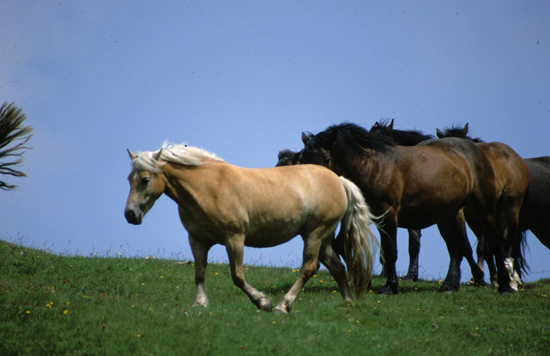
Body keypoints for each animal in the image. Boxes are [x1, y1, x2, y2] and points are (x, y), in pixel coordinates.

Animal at [125, 142, 380, 312]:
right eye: (130, 178)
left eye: (145, 179)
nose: (130, 214)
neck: (208, 186)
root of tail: (338, 179)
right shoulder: (197, 240)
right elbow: (199, 272)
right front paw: (200, 303)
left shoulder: (234, 238)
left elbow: (237, 276)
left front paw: (263, 302)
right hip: (323, 237)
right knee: (337, 267)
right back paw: (348, 301)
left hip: (314, 234)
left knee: (309, 267)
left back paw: (283, 305)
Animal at [300, 122, 520, 294]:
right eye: (303, 161)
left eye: (327, 159)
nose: (315, 190)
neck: (373, 168)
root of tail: (476, 151)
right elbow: (345, 246)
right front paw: (366, 281)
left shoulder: (388, 215)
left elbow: (390, 251)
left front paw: (390, 286)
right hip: (447, 216)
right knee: (455, 247)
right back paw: (449, 286)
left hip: (485, 211)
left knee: (493, 243)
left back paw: (504, 285)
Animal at [438, 124, 532, 288]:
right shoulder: (466, 217)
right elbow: (466, 246)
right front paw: (484, 277)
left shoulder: (480, 213)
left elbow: (481, 247)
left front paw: (482, 277)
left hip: (511, 206)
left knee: (511, 238)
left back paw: (511, 275)